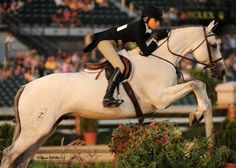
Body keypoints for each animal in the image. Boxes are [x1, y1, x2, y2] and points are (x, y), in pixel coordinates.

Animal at [0, 21, 225, 168]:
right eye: (214, 46)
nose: (222, 72)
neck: (160, 57)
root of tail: (26, 86)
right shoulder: (162, 99)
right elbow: (196, 83)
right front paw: (197, 114)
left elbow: (198, 84)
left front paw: (198, 114)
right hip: (36, 129)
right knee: (9, 155)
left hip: (44, 130)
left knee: (21, 160)